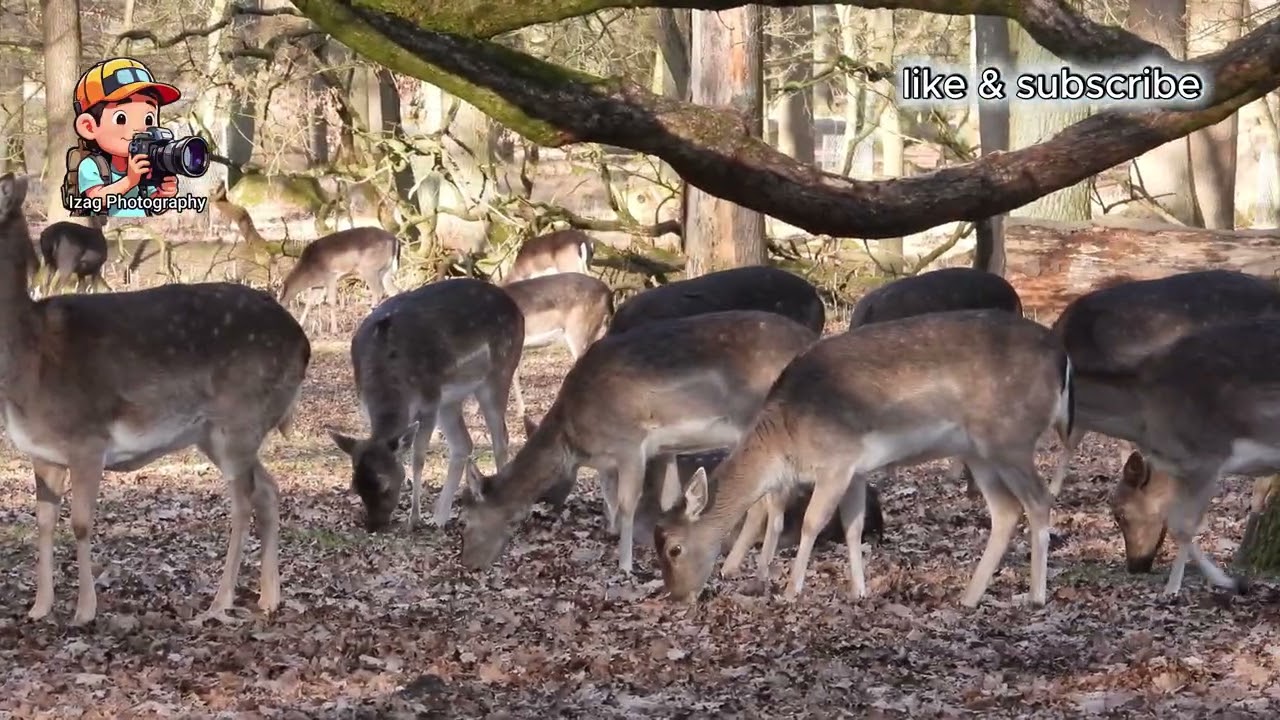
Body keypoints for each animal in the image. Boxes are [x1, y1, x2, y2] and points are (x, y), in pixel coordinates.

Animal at [0, 173, 310, 626]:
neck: (27, 365)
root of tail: (304, 344)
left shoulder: (88, 439)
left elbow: (81, 522)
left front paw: (85, 610)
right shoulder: (42, 453)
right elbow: (43, 521)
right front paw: (40, 607)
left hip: (241, 417)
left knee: (243, 503)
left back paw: (220, 602)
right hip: (216, 433)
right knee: (268, 491)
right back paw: (269, 598)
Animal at [327, 278, 526, 532]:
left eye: (386, 485)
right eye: (357, 487)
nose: (374, 525)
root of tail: (517, 308)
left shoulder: (430, 400)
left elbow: (418, 458)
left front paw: (413, 519)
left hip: (499, 371)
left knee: (501, 438)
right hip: (450, 399)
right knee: (463, 443)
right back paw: (440, 517)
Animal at [458, 310, 821, 575]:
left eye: (465, 520)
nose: (468, 564)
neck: (575, 436)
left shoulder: (630, 443)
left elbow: (627, 502)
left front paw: (625, 564)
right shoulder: (657, 451)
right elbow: (662, 498)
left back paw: (745, 565)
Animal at [654, 309, 1074, 607]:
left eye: (674, 548)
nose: (676, 596)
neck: (786, 441)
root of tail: (1062, 358)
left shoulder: (835, 461)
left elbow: (812, 522)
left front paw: (791, 590)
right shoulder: (856, 470)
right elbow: (853, 527)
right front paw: (859, 590)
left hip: (1011, 438)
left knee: (1039, 500)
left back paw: (1035, 596)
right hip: (979, 451)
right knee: (1006, 510)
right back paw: (969, 597)